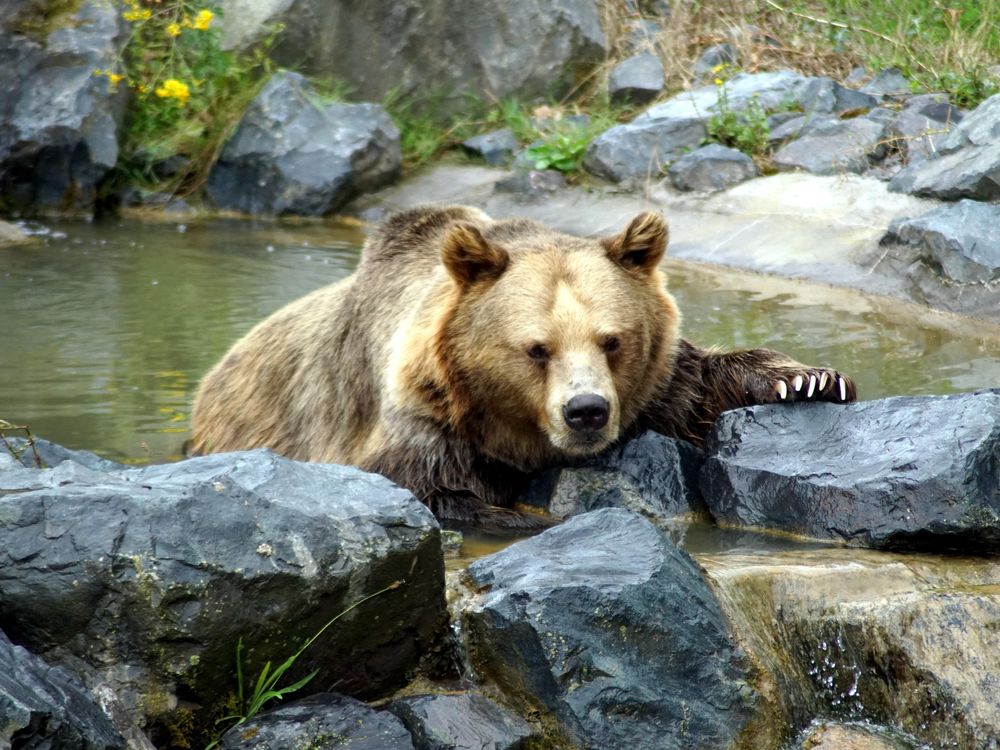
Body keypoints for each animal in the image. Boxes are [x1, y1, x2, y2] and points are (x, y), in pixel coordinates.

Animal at [191, 207, 856, 528]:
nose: (586, 411)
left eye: (612, 341)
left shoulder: (653, 387)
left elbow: (696, 386)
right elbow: (418, 488)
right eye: (537, 348)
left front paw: (807, 379)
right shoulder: (422, 423)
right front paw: (509, 514)